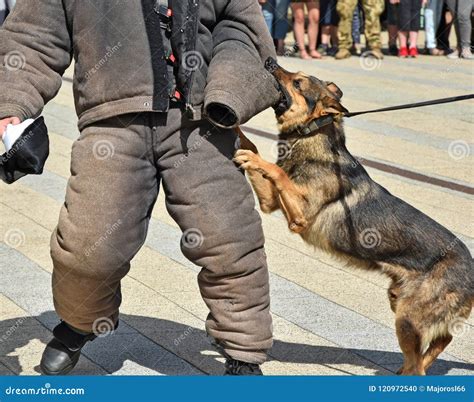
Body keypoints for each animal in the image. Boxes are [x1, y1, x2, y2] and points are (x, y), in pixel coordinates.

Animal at [234, 58, 474, 376]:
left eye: (297, 82)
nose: (270, 61)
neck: (314, 134)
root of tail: (473, 271)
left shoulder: (299, 217)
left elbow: (277, 171)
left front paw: (256, 158)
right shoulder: (271, 202)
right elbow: (253, 147)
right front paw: (236, 131)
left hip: (407, 319)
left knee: (420, 363)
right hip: (400, 302)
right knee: (437, 342)